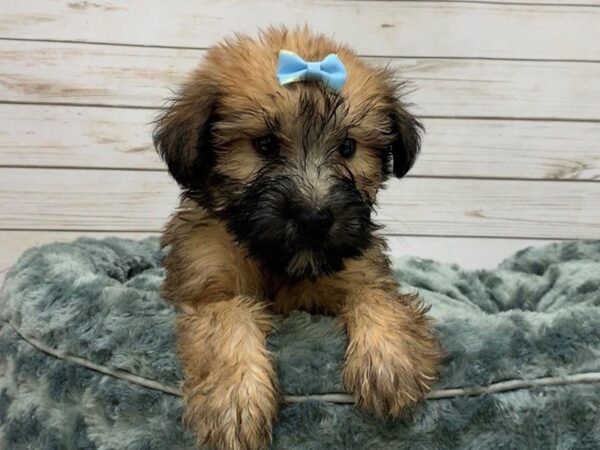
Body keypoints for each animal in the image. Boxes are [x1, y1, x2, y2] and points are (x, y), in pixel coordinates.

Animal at [154, 26, 440, 448]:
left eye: (348, 147)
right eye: (265, 145)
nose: (314, 218)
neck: (279, 261)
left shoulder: (358, 266)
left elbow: (377, 297)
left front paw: (389, 361)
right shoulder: (206, 284)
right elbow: (228, 318)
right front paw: (235, 400)